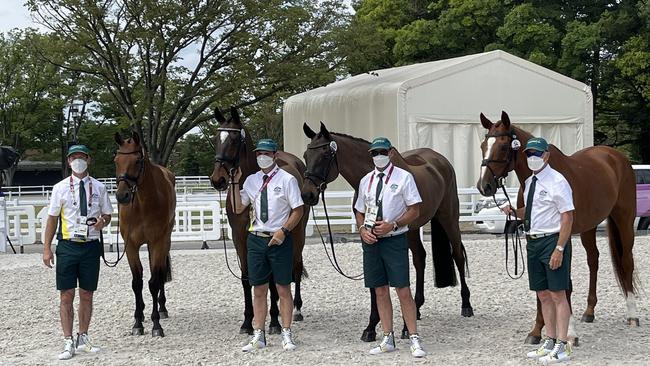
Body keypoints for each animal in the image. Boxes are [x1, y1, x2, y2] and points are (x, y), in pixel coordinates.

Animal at [113, 132, 175, 338]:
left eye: (137, 160)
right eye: (116, 160)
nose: (122, 196)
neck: (141, 205)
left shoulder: (158, 243)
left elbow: (154, 282)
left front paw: (156, 325)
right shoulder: (131, 246)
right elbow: (137, 283)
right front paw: (138, 321)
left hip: (164, 242)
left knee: (160, 273)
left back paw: (162, 309)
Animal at [208, 105, 308, 334]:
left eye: (234, 140)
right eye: (216, 138)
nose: (218, 180)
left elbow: (271, 279)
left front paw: (274, 321)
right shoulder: (240, 238)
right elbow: (247, 278)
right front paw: (247, 321)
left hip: (298, 233)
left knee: (296, 266)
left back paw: (296, 310)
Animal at [298, 122, 470, 340]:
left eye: (326, 155)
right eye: (306, 155)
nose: (307, 194)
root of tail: (441, 161)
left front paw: (400, 326)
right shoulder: (368, 235)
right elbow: (374, 280)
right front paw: (371, 326)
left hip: (448, 218)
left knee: (457, 255)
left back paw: (466, 305)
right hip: (413, 230)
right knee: (420, 259)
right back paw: (417, 308)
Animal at [476, 111, 636, 344]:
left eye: (504, 146)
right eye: (482, 145)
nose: (484, 186)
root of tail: (617, 157)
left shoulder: (562, 236)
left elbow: (564, 282)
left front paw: (569, 332)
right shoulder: (532, 235)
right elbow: (540, 285)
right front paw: (536, 331)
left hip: (624, 219)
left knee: (626, 261)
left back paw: (633, 314)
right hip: (589, 227)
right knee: (594, 261)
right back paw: (589, 311)